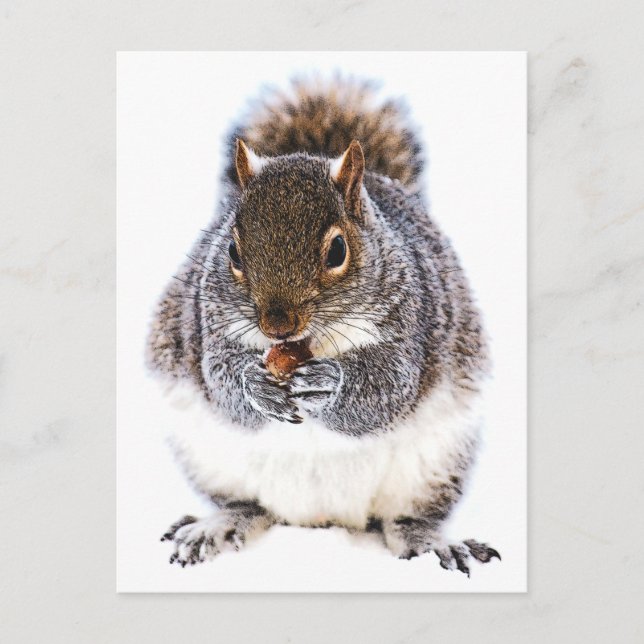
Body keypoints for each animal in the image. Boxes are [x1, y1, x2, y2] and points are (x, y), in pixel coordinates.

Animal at [149, 78, 500, 575]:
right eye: (232, 250)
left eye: (337, 250)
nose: (276, 325)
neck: (307, 343)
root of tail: (320, 518)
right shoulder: (207, 326)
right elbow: (221, 382)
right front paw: (255, 385)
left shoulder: (412, 326)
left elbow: (387, 391)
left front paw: (329, 384)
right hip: (209, 457)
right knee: (247, 505)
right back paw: (217, 525)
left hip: (435, 464)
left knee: (406, 518)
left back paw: (432, 542)